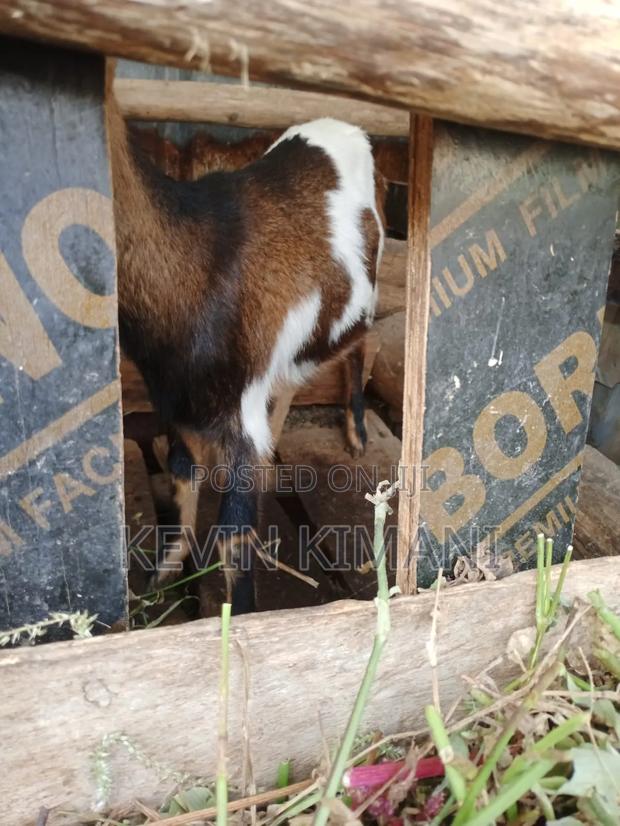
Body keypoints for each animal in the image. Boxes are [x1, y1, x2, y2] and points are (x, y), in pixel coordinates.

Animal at [106, 84, 386, 613]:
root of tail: (348, 126)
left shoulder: (237, 410)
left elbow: (233, 539)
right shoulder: (180, 403)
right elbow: (181, 478)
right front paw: (161, 576)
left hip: (364, 295)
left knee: (360, 344)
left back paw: (357, 431)